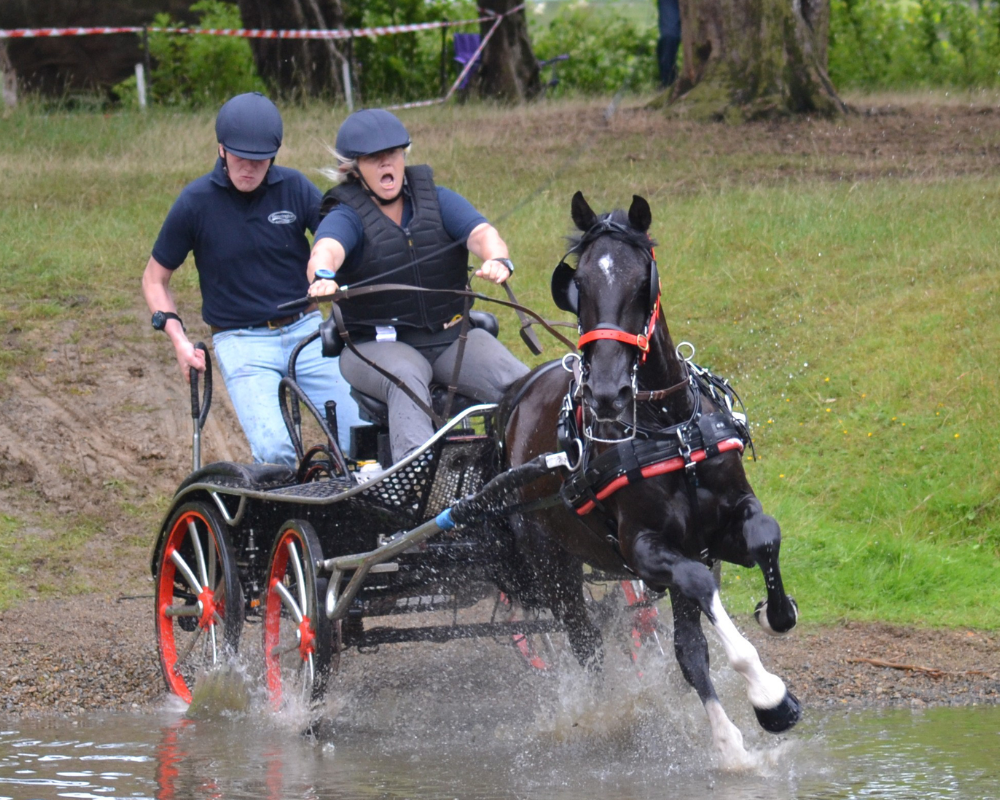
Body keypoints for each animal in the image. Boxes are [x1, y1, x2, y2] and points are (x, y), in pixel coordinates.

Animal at [504, 192, 800, 768]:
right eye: (579, 284)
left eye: (643, 281)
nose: (607, 392)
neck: (670, 429)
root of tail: (516, 398)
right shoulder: (645, 548)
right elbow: (701, 586)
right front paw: (767, 692)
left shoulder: (721, 529)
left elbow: (765, 536)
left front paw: (776, 613)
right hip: (557, 572)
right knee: (589, 644)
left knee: (687, 650)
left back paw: (729, 745)